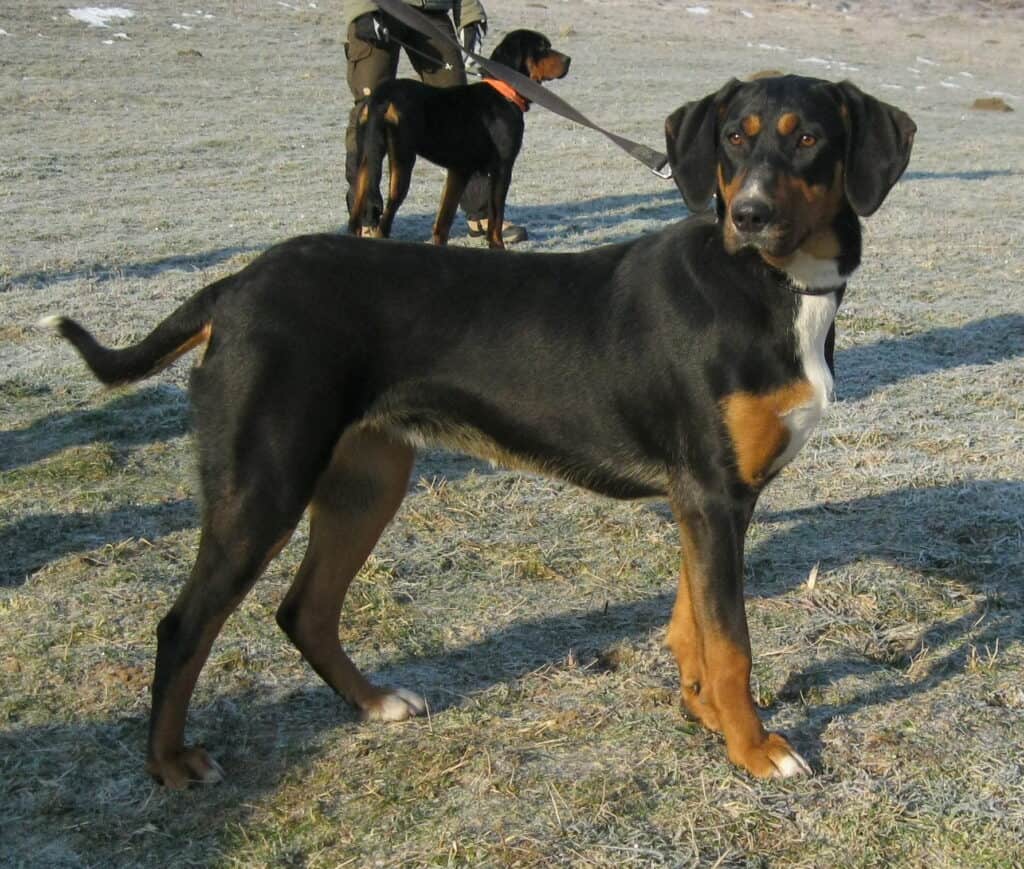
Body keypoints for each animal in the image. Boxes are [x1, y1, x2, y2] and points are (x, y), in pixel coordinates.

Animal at [44, 76, 917, 786]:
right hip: (263, 486)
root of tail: (236, 284)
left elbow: (692, 623)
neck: (775, 285)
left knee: (304, 610)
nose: (750, 214)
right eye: (736, 136)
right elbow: (731, 641)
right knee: (184, 625)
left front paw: (702, 713)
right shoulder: (711, 493)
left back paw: (375, 703)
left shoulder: (708, 500)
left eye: (808, 137)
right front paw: (753, 746)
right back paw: (170, 763)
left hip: (367, 483)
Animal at [344, 29, 569, 247]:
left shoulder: (459, 171)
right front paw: (497, 246)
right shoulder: (502, 168)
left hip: (367, 159)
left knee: (356, 214)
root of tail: (382, 97)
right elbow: (495, 218)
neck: (505, 93)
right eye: (542, 48)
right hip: (401, 160)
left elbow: (443, 221)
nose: (568, 59)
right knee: (385, 221)